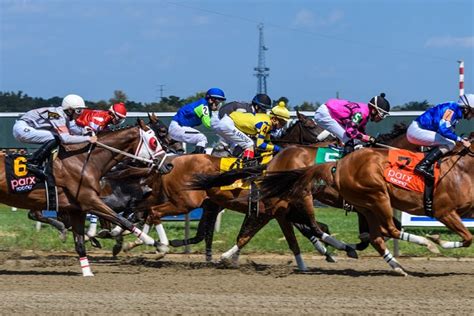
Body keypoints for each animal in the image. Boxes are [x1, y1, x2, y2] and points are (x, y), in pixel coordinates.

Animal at [0, 121, 168, 276]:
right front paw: (158, 245)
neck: (84, 161)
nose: (168, 165)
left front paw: (87, 272)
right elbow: (123, 221)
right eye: (154, 142)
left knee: (36, 215)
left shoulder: (78, 209)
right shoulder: (91, 201)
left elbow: (81, 242)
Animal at [260, 141, 474, 276]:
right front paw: (437, 240)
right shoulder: (444, 211)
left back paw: (395, 266)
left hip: (368, 203)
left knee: (376, 237)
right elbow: (468, 237)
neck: (461, 170)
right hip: (374, 197)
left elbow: (468, 238)